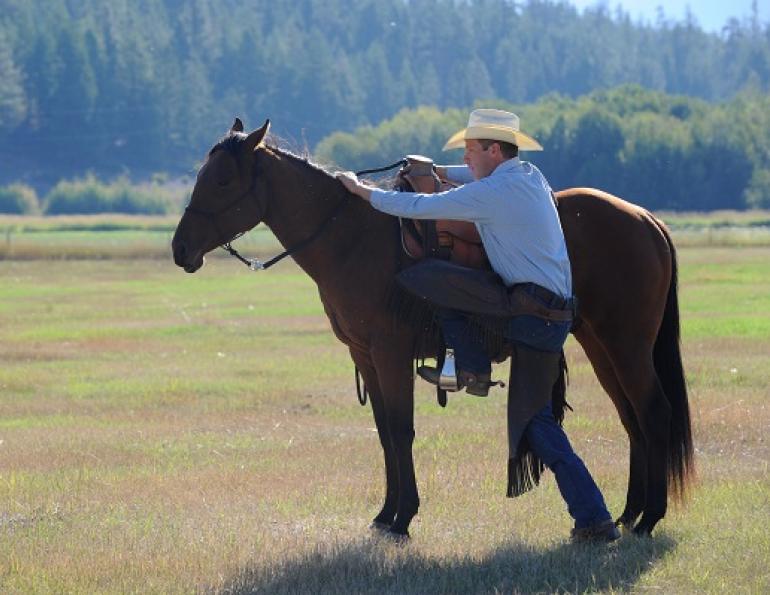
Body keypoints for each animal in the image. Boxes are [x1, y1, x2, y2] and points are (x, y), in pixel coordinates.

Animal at [172, 118, 693, 539]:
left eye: (222, 180)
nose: (180, 249)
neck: (352, 237)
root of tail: (645, 218)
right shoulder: (365, 355)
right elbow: (385, 432)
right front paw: (385, 514)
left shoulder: (390, 353)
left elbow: (402, 430)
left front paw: (403, 518)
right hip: (602, 347)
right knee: (632, 419)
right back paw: (628, 513)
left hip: (627, 346)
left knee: (653, 412)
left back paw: (648, 519)